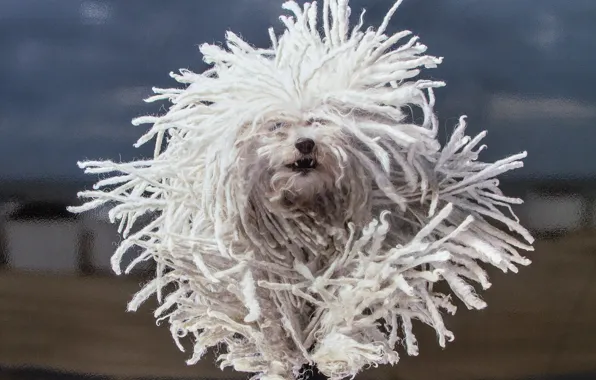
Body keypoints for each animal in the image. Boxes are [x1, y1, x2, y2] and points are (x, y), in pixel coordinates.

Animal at [68, 0, 532, 380]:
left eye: (322, 122)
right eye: (277, 125)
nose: (305, 144)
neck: (305, 213)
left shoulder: (369, 247)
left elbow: (352, 298)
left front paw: (334, 352)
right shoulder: (252, 267)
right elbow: (265, 314)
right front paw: (282, 356)